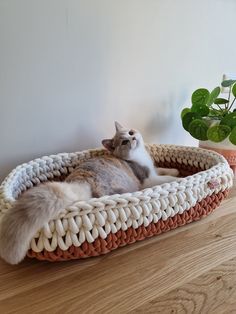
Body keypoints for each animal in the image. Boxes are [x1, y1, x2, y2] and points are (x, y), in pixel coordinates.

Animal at [0, 121, 179, 264]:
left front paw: (176, 170)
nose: (133, 138)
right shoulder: (147, 179)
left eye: (130, 132)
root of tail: (80, 181)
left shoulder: (153, 170)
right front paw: (178, 177)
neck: (138, 156)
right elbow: (164, 178)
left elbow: (163, 169)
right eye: (124, 142)